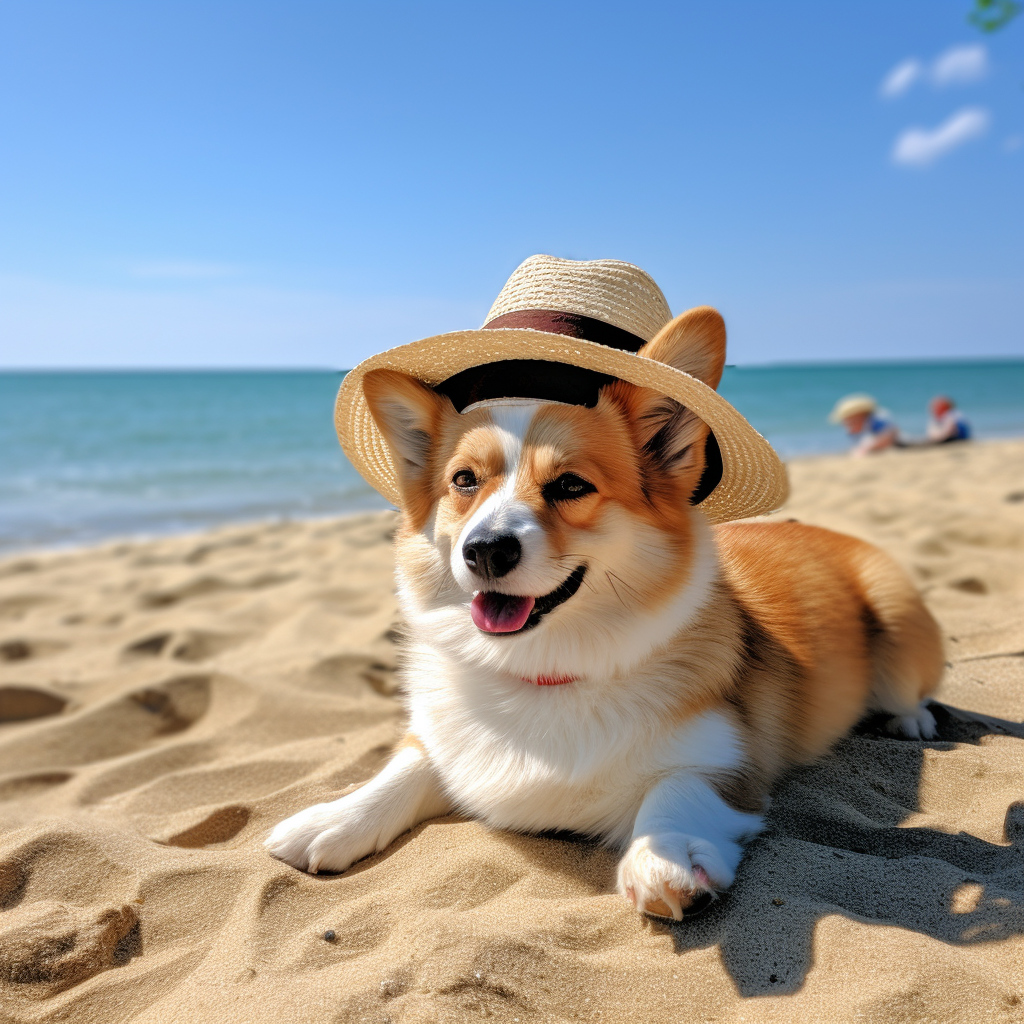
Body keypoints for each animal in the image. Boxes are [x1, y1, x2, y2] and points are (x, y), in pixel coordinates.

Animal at [266, 305, 942, 921]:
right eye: (464, 481)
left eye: (570, 486)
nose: (483, 550)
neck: (543, 673)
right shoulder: (441, 740)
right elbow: (404, 764)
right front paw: (334, 817)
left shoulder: (730, 759)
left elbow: (677, 787)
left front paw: (664, 855)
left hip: (898, 620)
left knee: (912, 689)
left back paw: (911, 720)